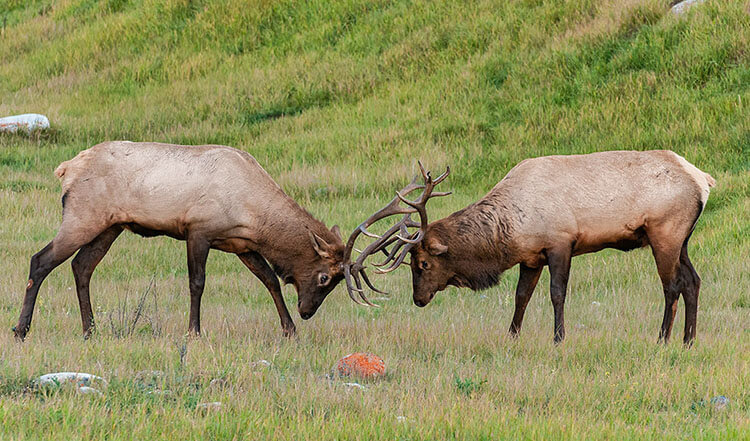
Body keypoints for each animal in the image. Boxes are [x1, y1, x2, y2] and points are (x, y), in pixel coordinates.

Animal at [13, 141, 382, 340]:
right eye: (324, 277)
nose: (306, 312)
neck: (254, 215)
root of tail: (66, 168)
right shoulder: (198, 230)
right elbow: (197, 283)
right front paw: (194, 331)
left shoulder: (242, 245)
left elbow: (270, 281)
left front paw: (289, 329)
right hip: (82, 216)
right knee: (40, 260)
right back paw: (21, 330)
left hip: (109, 226)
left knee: (82, 266)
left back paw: (90, 330)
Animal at [356, 151, 720, 344]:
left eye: (423, 264)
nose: (418, 299)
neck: (511, 228)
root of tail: (704, 180)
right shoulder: (530, 258)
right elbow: (522, 296)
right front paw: (512, 335)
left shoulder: (561, 242)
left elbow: (557, 294)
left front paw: (559, 337)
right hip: (682, 239)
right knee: (693, 280)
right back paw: (689, 339)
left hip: (664, 233)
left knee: (672, 285)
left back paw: (663, 338)